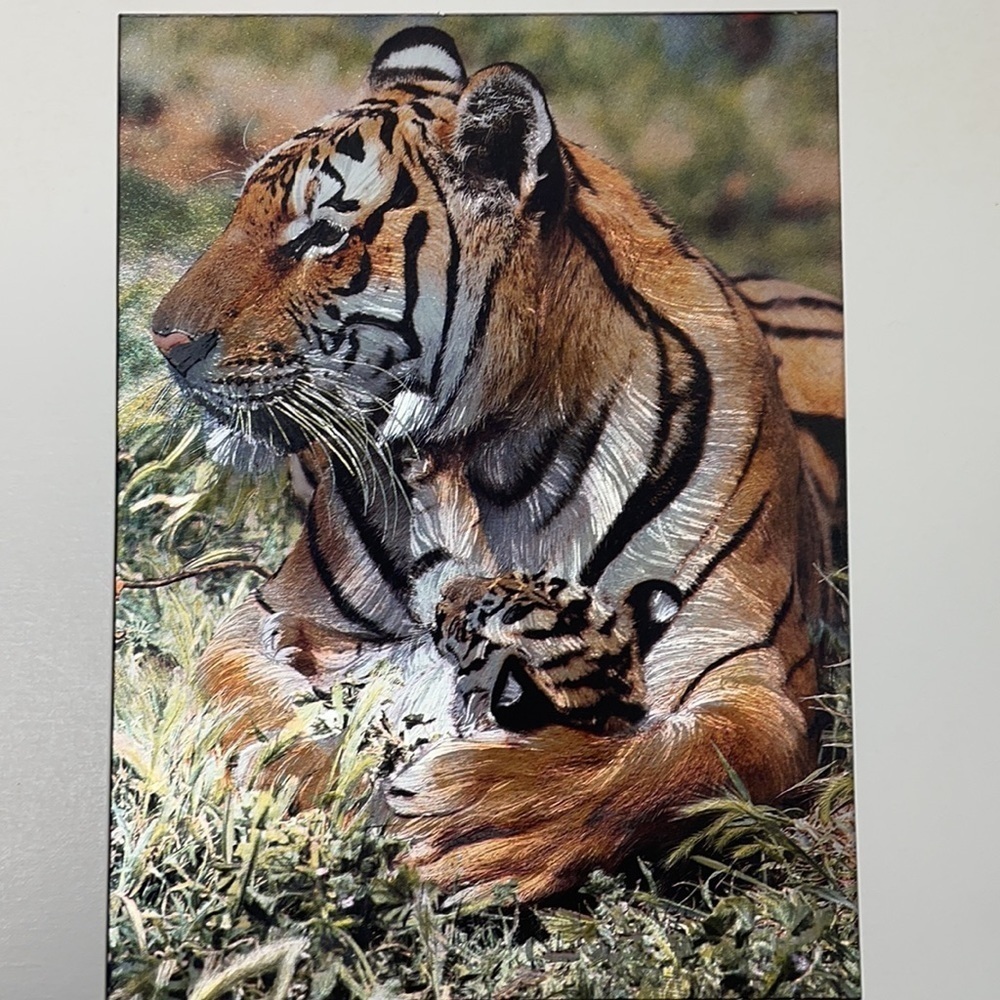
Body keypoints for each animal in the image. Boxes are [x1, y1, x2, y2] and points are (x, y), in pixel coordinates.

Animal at [149, 26, 846, 903]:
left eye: (323, 235)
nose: (162, 340)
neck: (486, 467)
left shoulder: (748, 672)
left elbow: (673, 761)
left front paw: (485, 816)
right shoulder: (272, 608)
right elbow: (241, 697)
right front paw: (303, 777)